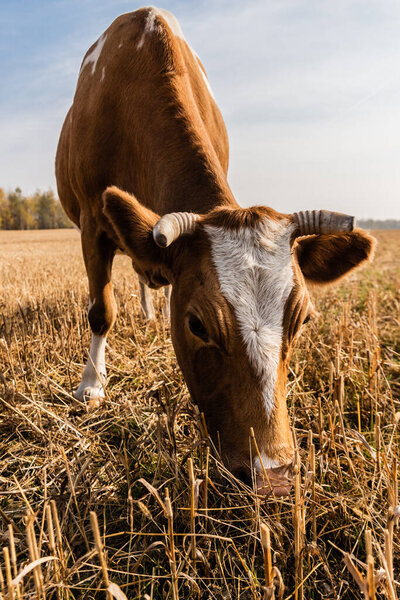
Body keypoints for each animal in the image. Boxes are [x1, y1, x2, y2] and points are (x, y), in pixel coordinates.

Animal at [56, 8, 376, 496]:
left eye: (302, 321)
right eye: (197, 325)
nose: (272, 475)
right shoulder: (93, 221)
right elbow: (101, 311)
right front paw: (92, 384)